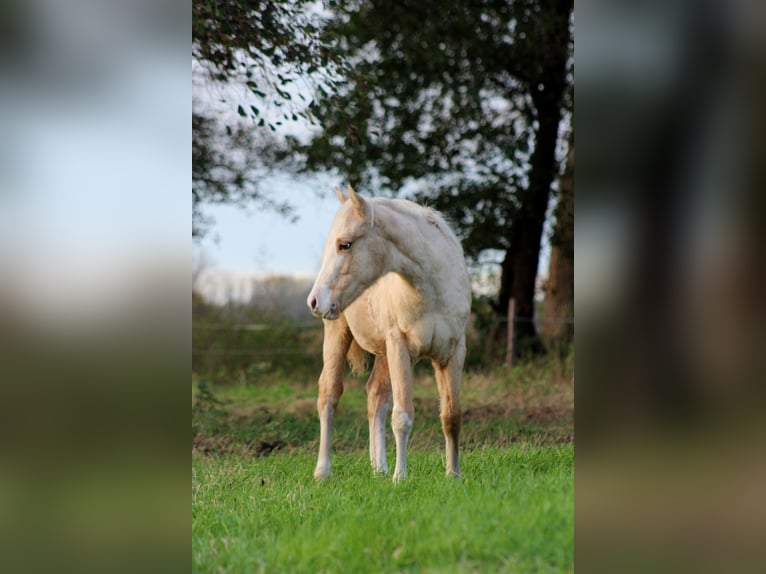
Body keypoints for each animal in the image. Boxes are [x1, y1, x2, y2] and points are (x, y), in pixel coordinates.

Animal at [307, 185, 471, 481]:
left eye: (345, 244)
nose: (314, 301)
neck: (433, 290)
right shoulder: (400, 347)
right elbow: (402, 416)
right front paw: (400, 478)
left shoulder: (453, 352)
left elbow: (451, 416)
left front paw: (453, 476)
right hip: (339, 334)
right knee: (329, 395)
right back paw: (323, 472)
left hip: (384, 353)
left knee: (375, 396)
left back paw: (378, 469)